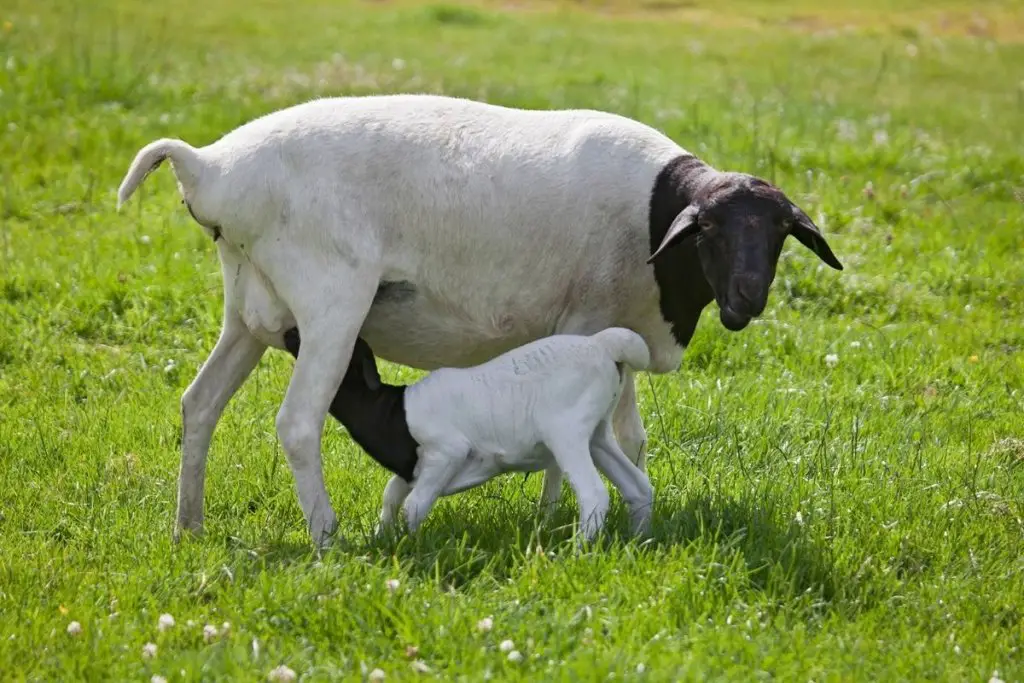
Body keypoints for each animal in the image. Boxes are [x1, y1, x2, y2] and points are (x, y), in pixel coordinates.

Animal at [116, 93, 843, 548]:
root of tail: (209, 168)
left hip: (248, 310)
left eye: (779, 233)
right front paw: (552, 518)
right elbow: (580, 440)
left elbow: (630, 439)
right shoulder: (587, 320)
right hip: (330, 302)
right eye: (712, 230)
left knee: (199, 404)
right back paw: (325, 535)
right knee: (297, 423)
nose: (747, 299)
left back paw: (189, 527)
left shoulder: (620, 326)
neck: (657, 221)